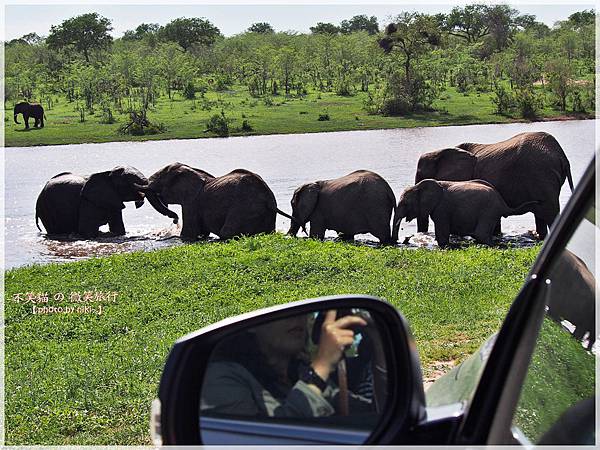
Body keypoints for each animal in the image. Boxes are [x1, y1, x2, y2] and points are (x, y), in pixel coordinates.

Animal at [144, 163, 298, 241]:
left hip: (243, 209)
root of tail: (269, 200)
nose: (175, 220)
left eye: (160, 177)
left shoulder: (191, 202)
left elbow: (188, 234)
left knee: (226, 232)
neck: (192, 169)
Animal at [394, 178, 540, 248]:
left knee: (481, 234)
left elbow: (442, 233)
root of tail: (502, 202)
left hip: (488, 211)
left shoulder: (442, 209)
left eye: (405, 204)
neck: (418, 186)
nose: (404, 240)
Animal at [414, 131, 576, 239]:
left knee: (549, 213)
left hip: (541, 175)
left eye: (421, 176)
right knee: (542, 212)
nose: (422, 234)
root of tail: (561, 156)